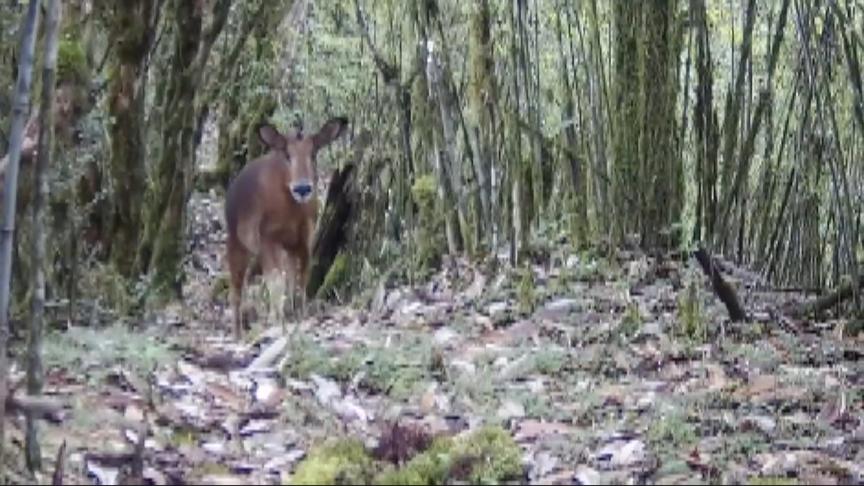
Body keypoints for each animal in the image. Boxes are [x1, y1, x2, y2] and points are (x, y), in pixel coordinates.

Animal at [224, 117, 350, 338]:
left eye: (313, 153)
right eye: (288, 155)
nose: (302, 188)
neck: (290, 211)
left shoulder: (304, 239)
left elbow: (300, 278)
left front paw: (298, 313)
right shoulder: (267, 238)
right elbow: (276, 281)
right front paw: (276, 320)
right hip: (236, 242)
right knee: (236, 289)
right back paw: (238, 332)